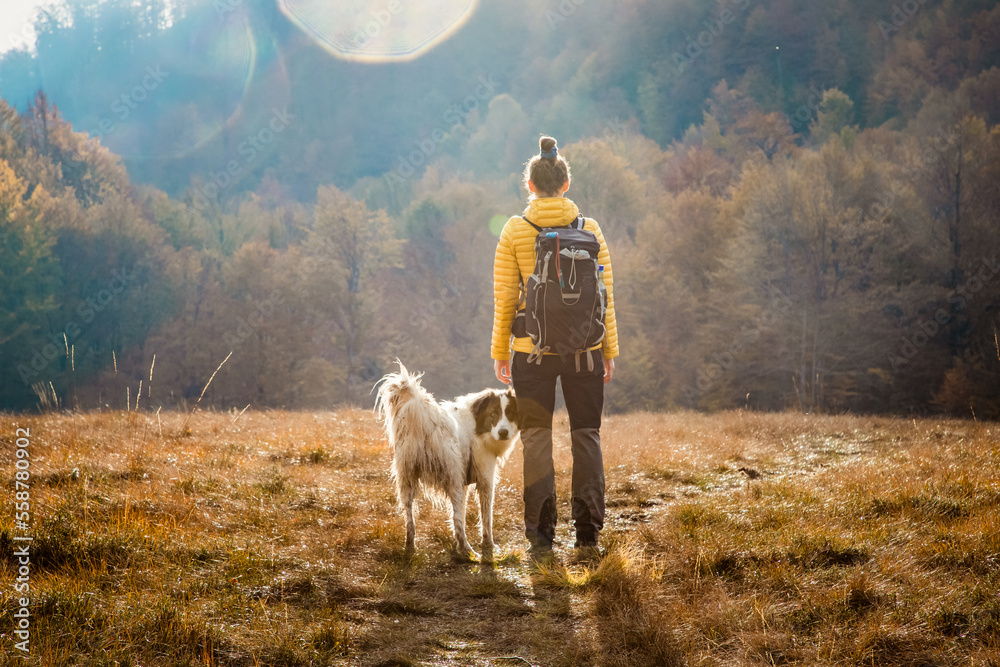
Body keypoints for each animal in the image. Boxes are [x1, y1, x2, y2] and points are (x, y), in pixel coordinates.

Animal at [374, 362, 516, 560]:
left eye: (510, 414)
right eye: (494, 414)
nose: (503, 433)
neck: (477, 422)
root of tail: (427, 423)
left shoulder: (465, 483)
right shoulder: (485, 478)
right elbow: (486, 518)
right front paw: (489, 546)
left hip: (407, 478)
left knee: (410, 520)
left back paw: (410, 549)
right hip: (453, 478)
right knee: (456, 519)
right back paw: (468, 551)